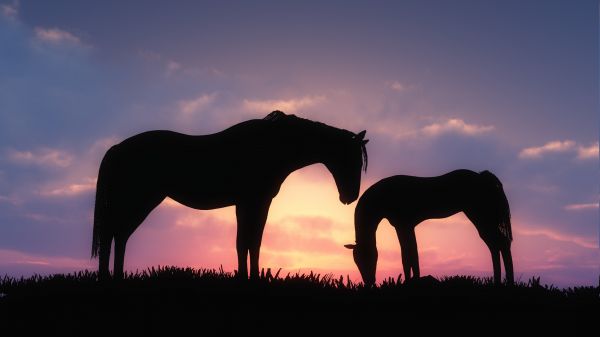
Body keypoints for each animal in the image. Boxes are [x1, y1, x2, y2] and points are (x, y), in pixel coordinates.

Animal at [92, 110, 370, 278]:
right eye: (352, 159)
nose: (350, 197)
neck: (272, 147)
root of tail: (117, 148)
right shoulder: (255, 202)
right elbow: (250, 241)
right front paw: (251, 278)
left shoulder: (247, 204)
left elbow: (246, 242)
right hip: (137, 200)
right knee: (113, 234)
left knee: (119, 235)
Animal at [344, 169, 512, 284]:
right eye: (356, 261)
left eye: (367, 257)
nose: (369, 282)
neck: (383, 196)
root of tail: (483, 177)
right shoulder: (405, 226)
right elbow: (410, 254)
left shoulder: (403, 225)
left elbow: (408, 255)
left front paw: (411, 281)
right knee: (496, 245)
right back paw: (499, 281)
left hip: (481, 217)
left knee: (499, 244)